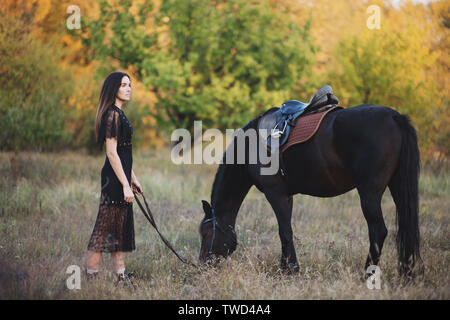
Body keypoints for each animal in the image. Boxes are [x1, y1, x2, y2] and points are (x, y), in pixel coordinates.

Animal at [199, 102, 420, 276]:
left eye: (206, 233)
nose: (202, 264)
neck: (252, 146)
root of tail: (395, 117)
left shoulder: (275, 193)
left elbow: (284, 231)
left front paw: (291, 269)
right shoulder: (286, 196)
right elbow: (286, 230)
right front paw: (285, 267)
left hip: (369, 193)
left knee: (378, 230)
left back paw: (368, 273)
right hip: (396, 187)